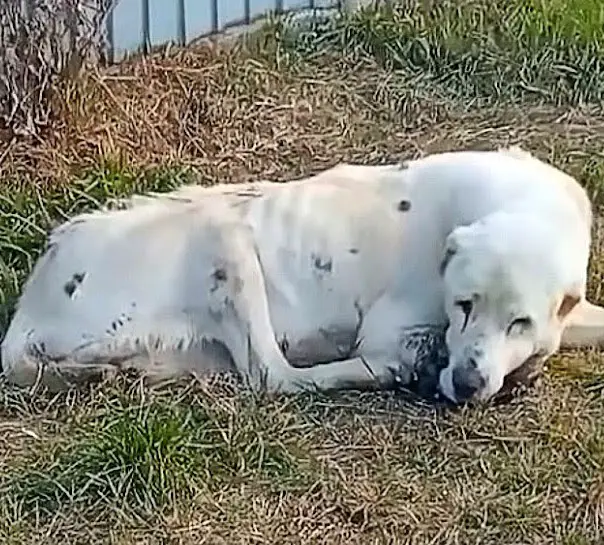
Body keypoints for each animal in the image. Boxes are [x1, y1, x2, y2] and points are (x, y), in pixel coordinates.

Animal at [1, 147, 604, 402]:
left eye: (519, 322)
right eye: (464, 305)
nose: (467, 383)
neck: (524, 203)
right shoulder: (388, 333)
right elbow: (388, 351)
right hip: (224, 235)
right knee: (275, 375)